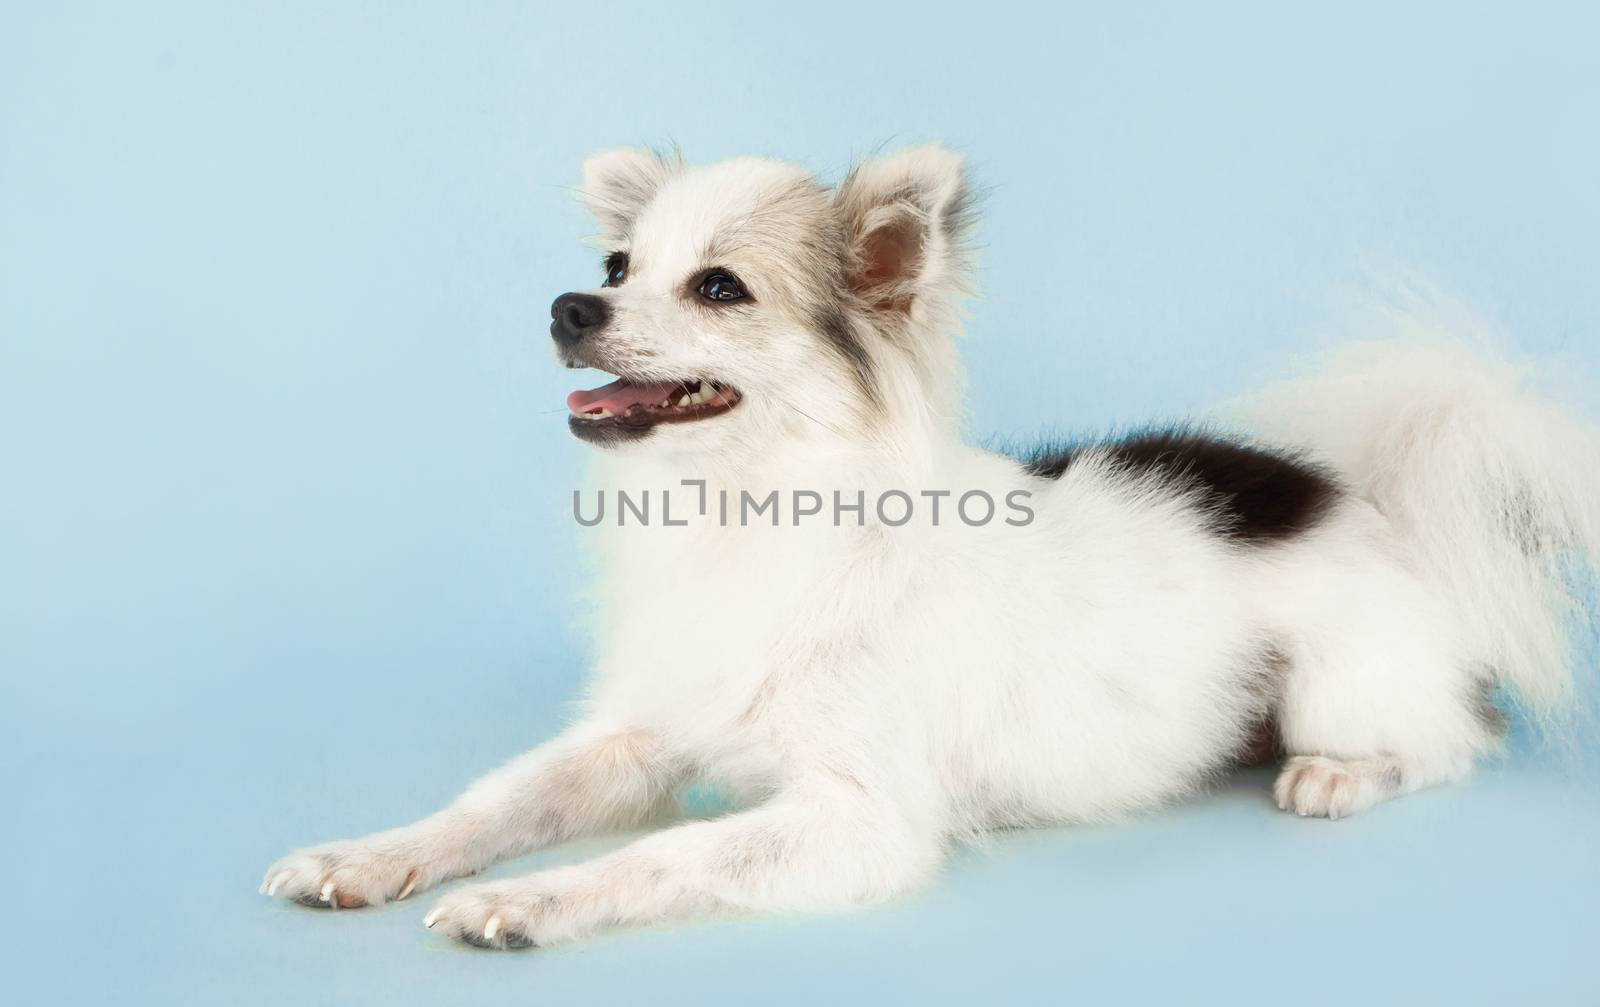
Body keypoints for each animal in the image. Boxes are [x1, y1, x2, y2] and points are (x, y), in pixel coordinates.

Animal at [262, 145, 1600, 947]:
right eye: (615, 264)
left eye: (718, 289)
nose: (567, 305)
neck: (743, 511)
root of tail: (1369, 500)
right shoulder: (633, 736)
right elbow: (491, 800)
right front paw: (370, 854)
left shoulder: (858, 818)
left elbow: (668, 853)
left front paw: (530, 896)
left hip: (1341, 684)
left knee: (1451, 739)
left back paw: (1335, 775)